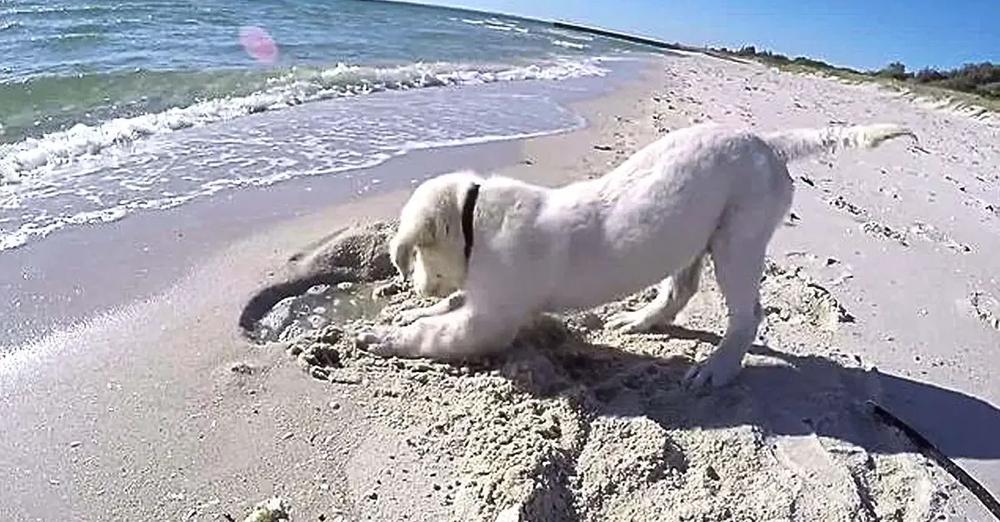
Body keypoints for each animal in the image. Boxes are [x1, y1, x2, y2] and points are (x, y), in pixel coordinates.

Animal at [360, 123, 916, 386]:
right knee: (681, 288)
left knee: (747, 314)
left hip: (739, 239)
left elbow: (436, 333)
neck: (475, 216)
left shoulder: (488, 319)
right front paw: (409, 313)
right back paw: (639, 321)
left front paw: (382, 335)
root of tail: (767, 143)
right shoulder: (481, 296)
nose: (415, 285)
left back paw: (717, 368)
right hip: (695, 236)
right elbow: (446, 307)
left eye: (413, 257)